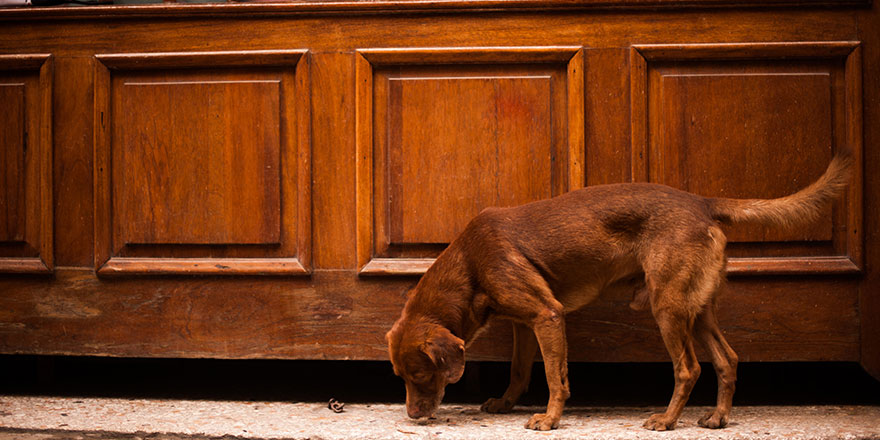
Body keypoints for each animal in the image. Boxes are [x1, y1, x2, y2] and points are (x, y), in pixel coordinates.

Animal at [386, 154, 852, 430]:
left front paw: (550, 419)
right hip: (697, 309)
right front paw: (505, 402)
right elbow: (520, 371)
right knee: (727, 359)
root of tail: (702, 202)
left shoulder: (548, 315)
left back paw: (666, 420)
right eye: (401, 378)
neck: (469, 263)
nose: (412, 416)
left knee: (689, 368)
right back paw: (717, 417)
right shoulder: (525, 324)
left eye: (420, 375)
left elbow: (555, 377)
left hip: (668, 307)